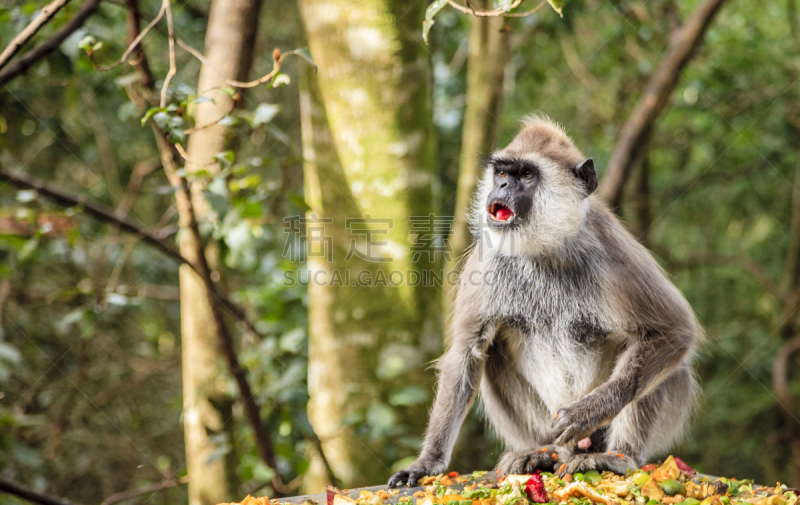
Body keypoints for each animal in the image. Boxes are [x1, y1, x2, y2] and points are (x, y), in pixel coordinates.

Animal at [390, 116, 700, 486]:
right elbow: (466, 353)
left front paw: (586, 413)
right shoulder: (488, 258)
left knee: (664, 364)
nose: (502, 187)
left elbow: (673, 331)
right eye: (502, 173)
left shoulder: (611, 248)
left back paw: (616, 456)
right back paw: (541, 453)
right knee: (492, 354)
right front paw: (427, 462)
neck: (543, 249)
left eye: (526, 175)